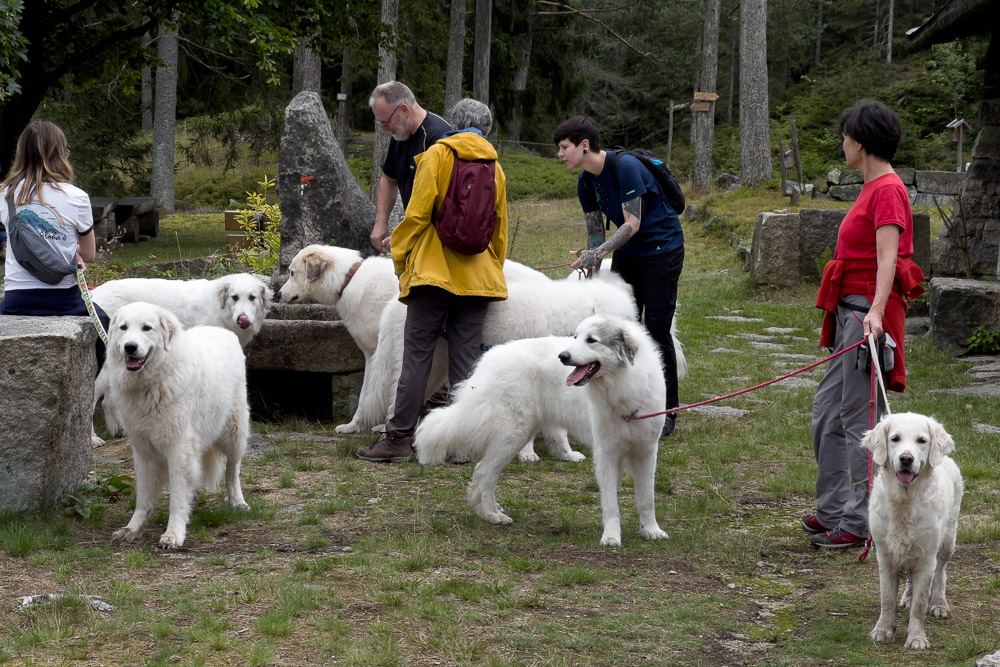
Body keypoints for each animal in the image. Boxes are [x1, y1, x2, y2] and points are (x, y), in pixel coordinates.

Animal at [105, 302, 250, 548]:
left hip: (234, 431)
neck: (151, 384)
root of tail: (223, 331)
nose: (130, 347)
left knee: (233, 470)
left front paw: (173, 534)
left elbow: (177, 497)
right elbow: (143, 496)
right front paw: (132, 528)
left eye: (147, 328)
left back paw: (237, 501)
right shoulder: (143, 450)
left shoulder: (179, 449)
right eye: (123, 328)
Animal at [414, 314, 672, 548]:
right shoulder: (606, 453)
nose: (563, 356)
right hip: (512, 436)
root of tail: (491, 358)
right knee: (484, 474)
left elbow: (647, 498)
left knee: (481, 476)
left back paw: (488, 511)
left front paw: (651, 531)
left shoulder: (647, 452)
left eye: (592, 340)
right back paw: (493, 516)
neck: (624, 383)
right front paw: (611, 537)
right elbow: (611, 503)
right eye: (576, 337)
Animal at [864, 412, 964, 652]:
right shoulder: (885, 555)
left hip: (947, 540)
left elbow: (920, 604)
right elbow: (887, 599)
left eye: (921, 440)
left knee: (941, 573)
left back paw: (938, 604)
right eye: (895, 439)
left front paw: (917, 638)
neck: (904, 501)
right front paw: (883, 629)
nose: (906, 459)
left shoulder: (927, 557)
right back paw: (907, 597)